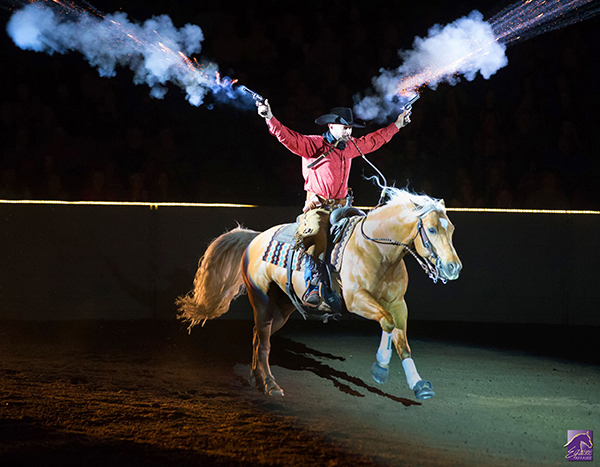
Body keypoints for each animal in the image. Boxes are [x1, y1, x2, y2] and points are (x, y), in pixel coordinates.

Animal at [176, 188, 462, 400]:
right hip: (262, 299)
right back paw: (270, 385)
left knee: (259, 336)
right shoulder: (357, 300)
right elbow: (387, 323)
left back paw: (258, 378)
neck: (377, 250)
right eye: (432, 230)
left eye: (451, 229)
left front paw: (419, 385)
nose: (454, 268)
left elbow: (402, 340)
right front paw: (380, 368)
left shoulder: (398, 303)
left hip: (283, 307)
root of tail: (255, 239)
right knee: (264, 339)